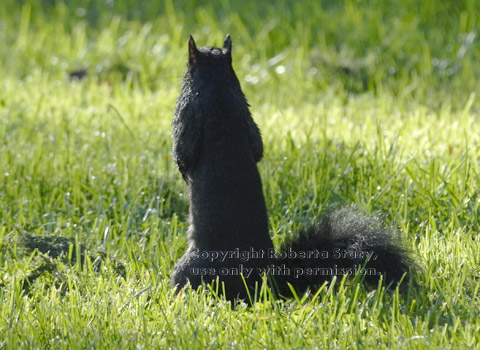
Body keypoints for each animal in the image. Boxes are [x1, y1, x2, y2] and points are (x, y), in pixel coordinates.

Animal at [170, 33, 412, 300]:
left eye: (187, 66)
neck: (217, 88)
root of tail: (262, 282)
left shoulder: (188, 112)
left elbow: (183, 152)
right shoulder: (245, 111)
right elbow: (257, 146)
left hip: (188, 269)